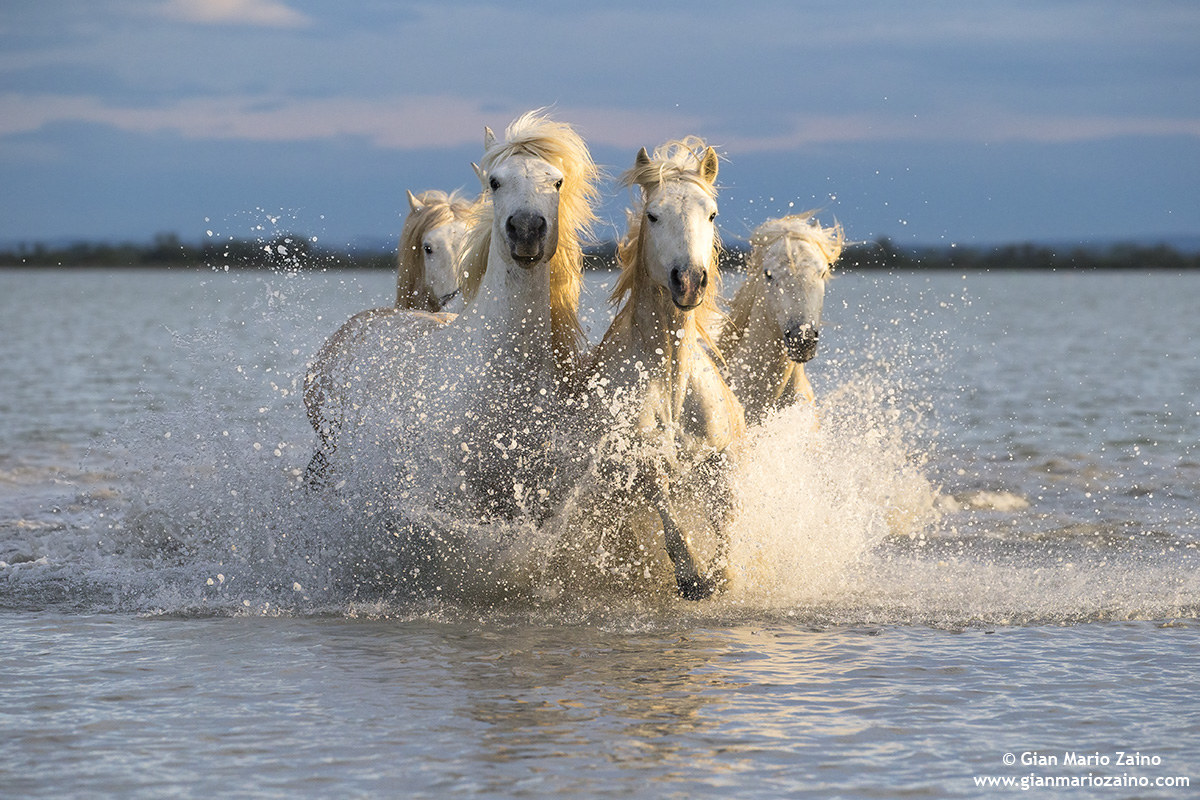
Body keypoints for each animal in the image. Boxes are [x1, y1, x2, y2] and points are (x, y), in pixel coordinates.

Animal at [577, 138, 745, 600]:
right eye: (653, 215)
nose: (688, 281)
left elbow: (726, 521)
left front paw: (722, 573)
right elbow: (663, 503)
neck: (672, 387)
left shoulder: (720, 459)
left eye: (712, 213)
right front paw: (692, 577)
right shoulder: (640, 460)